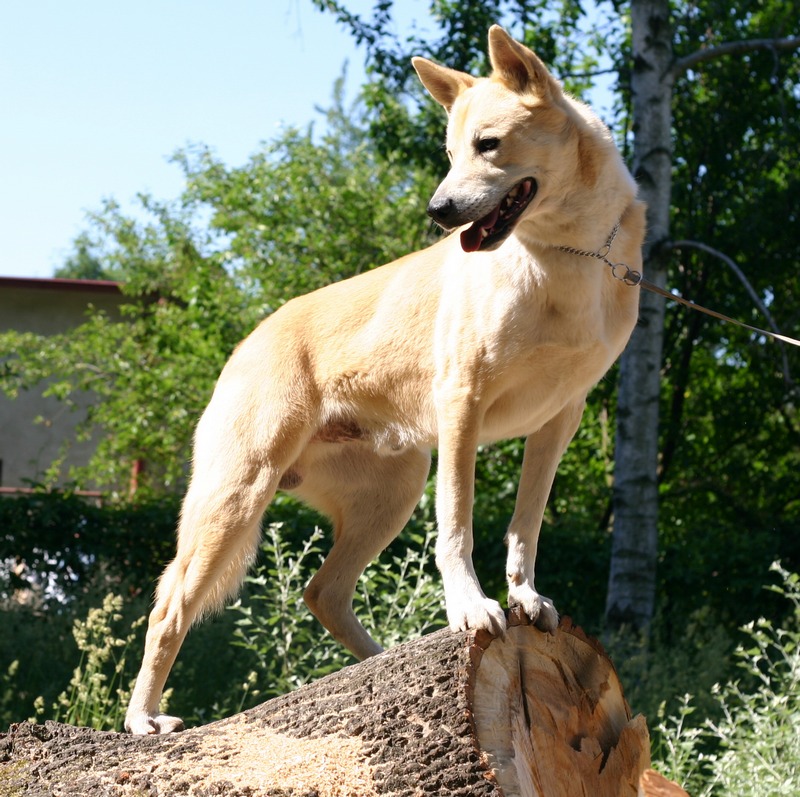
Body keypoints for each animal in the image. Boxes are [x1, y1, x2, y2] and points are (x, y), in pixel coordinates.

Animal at [126, 24, 648, 732]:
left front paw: (525, 599)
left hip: (391, 492)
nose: (439, 211)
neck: (568, 255)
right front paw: (471, 609)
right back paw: (142, 720)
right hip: (237, 500)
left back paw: (385, 663)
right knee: (168, 606)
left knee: (323, 592)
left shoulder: (559, 418)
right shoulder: (462, 402)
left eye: (488, 145)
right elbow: (458, 525)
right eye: (450, 152)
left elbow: (524, 526)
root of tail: (246, 342)